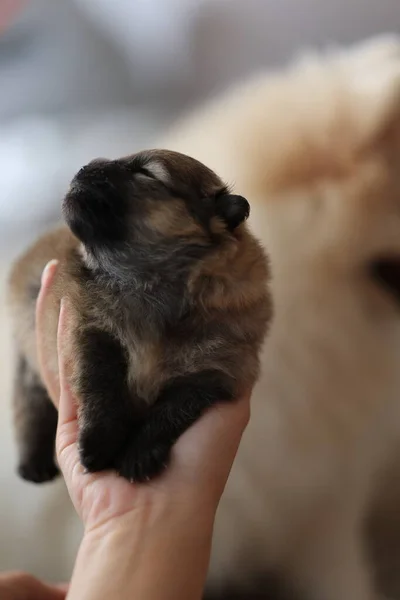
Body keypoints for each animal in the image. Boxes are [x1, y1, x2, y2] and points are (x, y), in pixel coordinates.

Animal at [7, 149, 270, 482]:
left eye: (145, 173)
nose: (83, 167)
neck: (149, 287)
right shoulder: (88, 327)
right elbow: (100, 382)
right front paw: (98, 441)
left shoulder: (217, 370)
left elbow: (173, 408)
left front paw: (139, 454)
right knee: (29, 405)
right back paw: (33, 464)